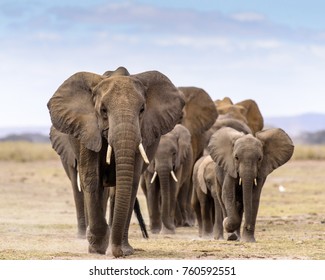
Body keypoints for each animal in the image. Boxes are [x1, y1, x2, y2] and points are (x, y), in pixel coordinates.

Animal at [46, 66, 184, 258]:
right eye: (103, 110)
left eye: (142, 109)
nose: (118, 253)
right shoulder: (87, 131)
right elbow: (91, 178)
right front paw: (96, 248)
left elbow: (129, 182)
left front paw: (123, 250)